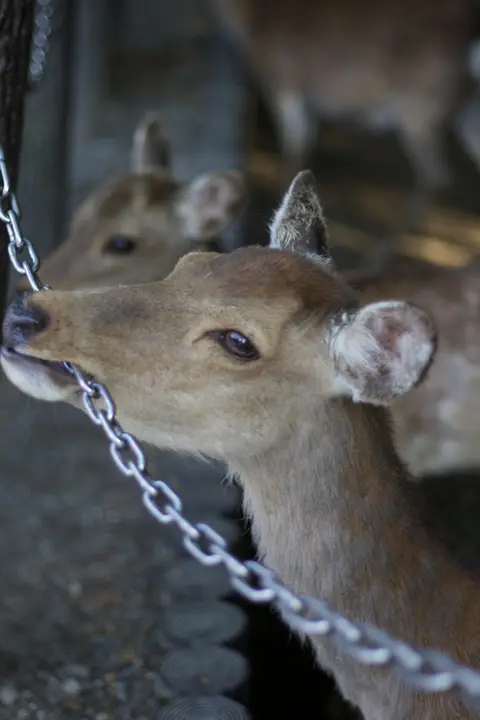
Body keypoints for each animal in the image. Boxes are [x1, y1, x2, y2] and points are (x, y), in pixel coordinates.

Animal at [210, 0, 479, 251]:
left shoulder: (286, 85)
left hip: (418, 107)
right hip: (462, 110)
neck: (253, 19)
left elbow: (293, 153)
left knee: (436, 174)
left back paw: (377, 254)